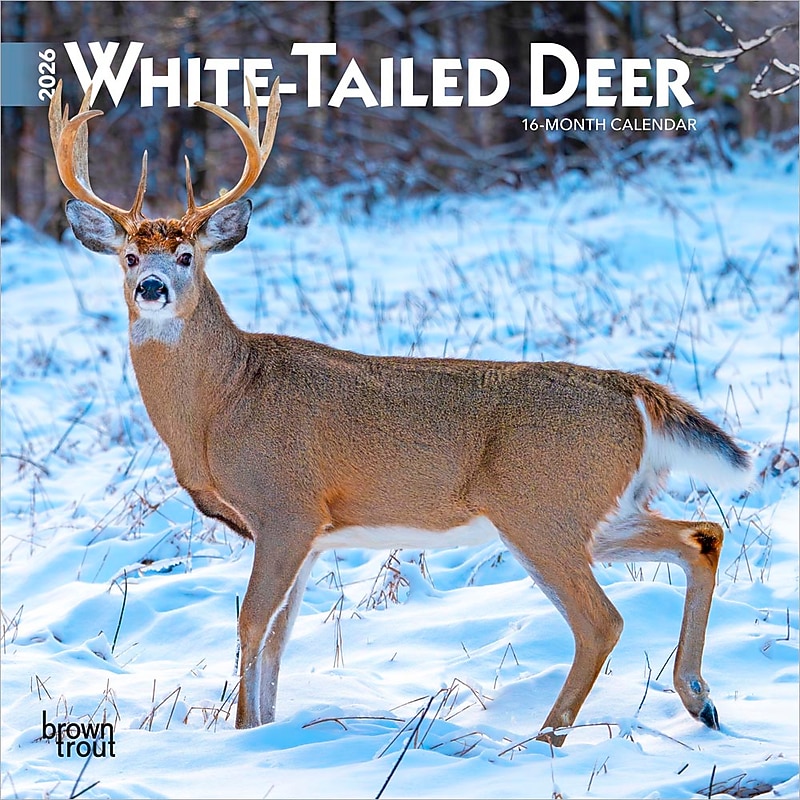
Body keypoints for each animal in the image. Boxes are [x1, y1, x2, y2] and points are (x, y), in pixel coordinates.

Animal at [49, 78, 751, 746]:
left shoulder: (285, 506)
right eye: (129, 257)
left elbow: (253, 622)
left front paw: (242, 734)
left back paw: (546, 738)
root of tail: (633, 393)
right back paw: (700, 699)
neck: (219, 405)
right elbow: (279, 636)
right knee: (701, 535)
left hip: (541, 509)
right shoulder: (310, 534)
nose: (152, 289)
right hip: (597, 508)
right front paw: (264, 731)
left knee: (602, 620)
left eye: (187, 256)